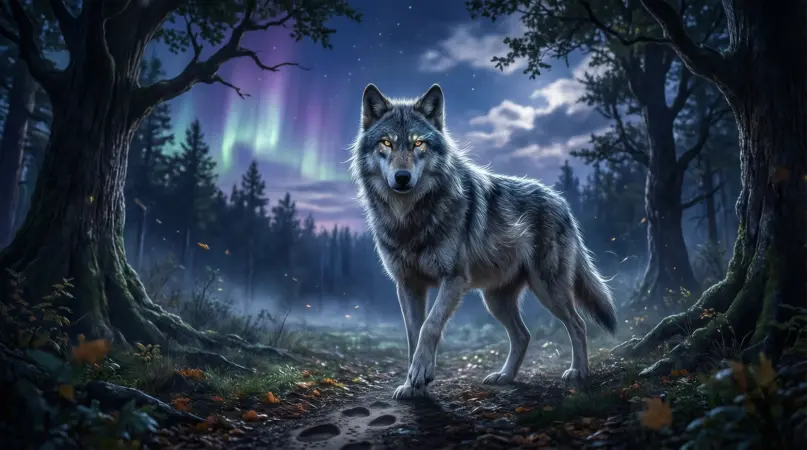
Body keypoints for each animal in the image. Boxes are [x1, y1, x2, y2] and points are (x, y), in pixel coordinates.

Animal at [349, 83, 617, 399]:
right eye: (387, 143)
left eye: (418, 144)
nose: (402, 178)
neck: (410, 219)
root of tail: (562, 202)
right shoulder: (408, 285)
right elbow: (413, 336)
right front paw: (412, 385)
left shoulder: (453, 279)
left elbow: (430, 326)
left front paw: (421, 374)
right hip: (495, 299)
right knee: (523, 335)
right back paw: (505, 376)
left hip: (547, 289)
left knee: (578, 324)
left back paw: (578, 372)